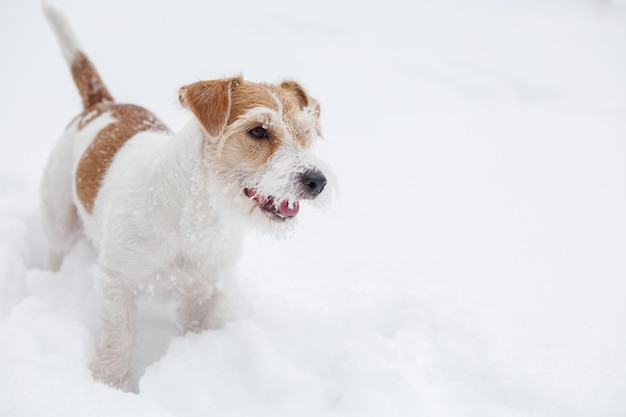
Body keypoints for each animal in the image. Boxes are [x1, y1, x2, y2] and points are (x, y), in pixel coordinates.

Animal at [40, 3, 330, 388]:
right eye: (258, 131)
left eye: (305, 133)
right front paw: (108, 384)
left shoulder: (206, 290)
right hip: (58, 217)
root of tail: (102, 105)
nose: (317, 181)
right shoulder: (118, 282)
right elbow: (119, 338)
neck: (198, 216)